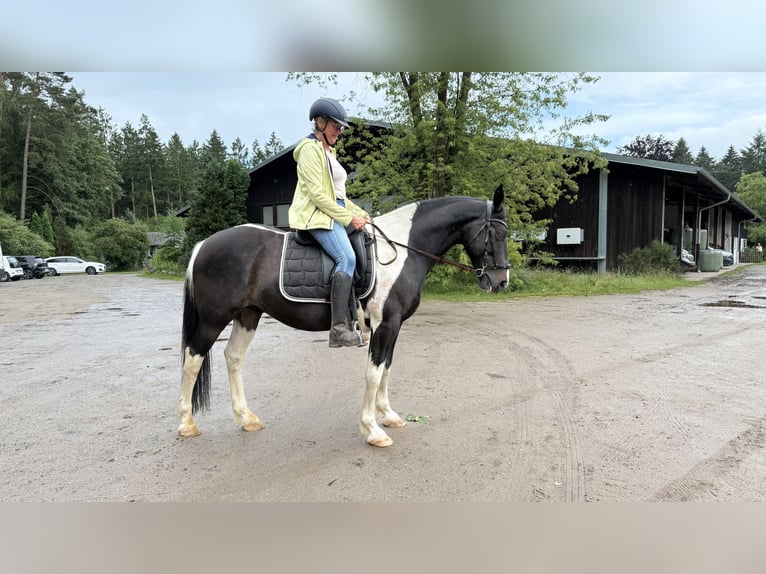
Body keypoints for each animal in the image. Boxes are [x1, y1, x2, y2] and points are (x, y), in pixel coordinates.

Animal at [177, 185, 509, 447]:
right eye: (498, 233)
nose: (501, 281)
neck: (402, 250)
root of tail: (203, 245)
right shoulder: (385, 324)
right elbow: (373, 373)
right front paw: (373, 430)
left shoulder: (393, 325)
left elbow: (387, 368)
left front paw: (388, 415)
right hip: (213, 319)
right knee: (193, 359)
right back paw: (187, 424)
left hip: (248, 315)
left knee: (233, 357)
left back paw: (246, 418)